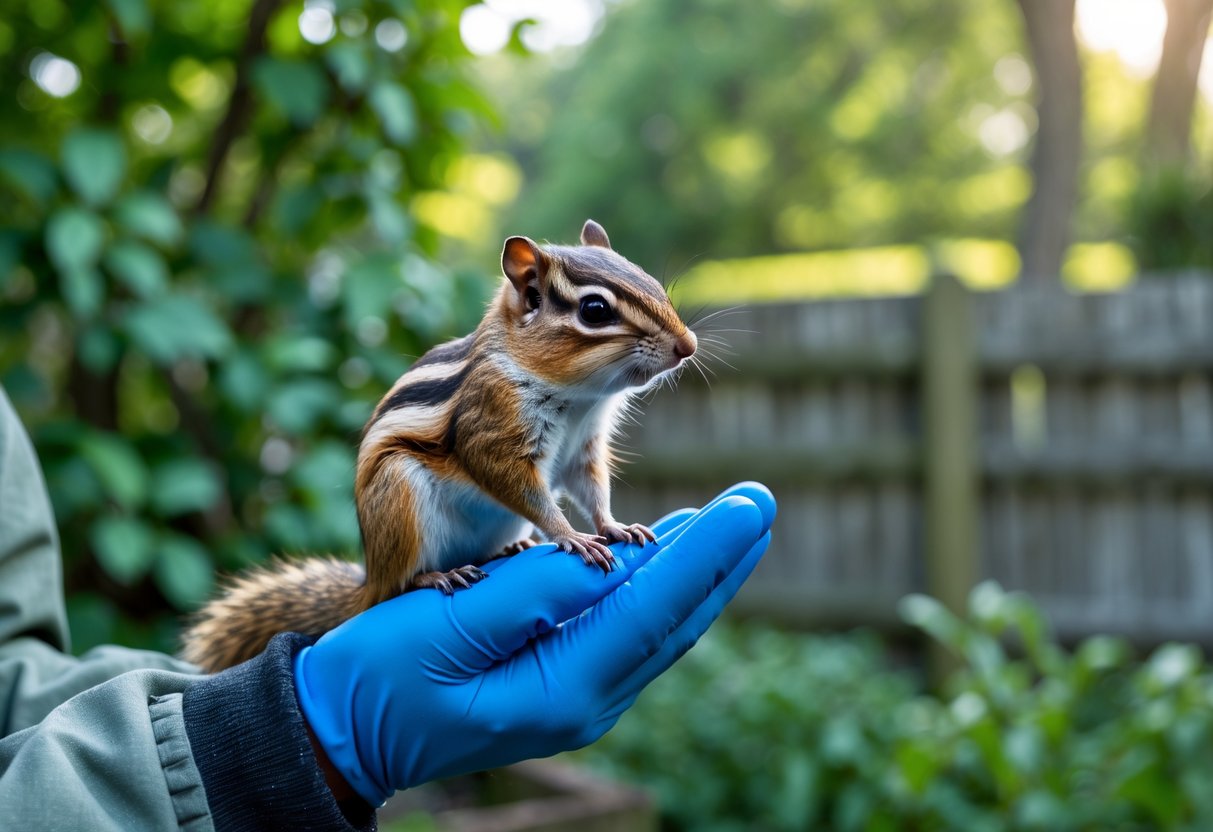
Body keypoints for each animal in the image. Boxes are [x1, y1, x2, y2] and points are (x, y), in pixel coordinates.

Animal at [181, 220, 698, 672]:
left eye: (651, 281)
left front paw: (614, 526)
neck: (580, 398)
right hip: (399, 493)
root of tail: (371, 577)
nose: (688, 345)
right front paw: (571, 536)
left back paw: (510, 548)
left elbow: (592, 490)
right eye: (594, 310)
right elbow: (519, 485)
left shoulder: (583, 449)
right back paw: (438, 575)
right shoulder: (490, 430)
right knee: (401, 586)